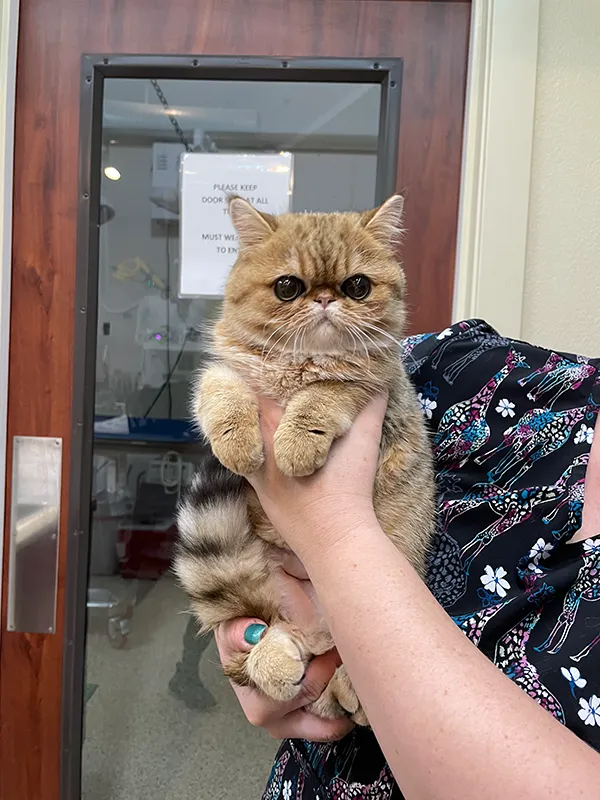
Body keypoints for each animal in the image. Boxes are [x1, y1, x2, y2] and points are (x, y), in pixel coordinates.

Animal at [173, 195, 436, 724]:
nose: (324, 299)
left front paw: (295, 442)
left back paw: (348, 688)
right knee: (278, 632)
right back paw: (275, 659)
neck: (299, 363)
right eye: (287, 287)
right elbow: (221, 394)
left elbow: (322, 396)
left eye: (357, 286)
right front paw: (237, 442)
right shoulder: (226, 368)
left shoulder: (367, 385)